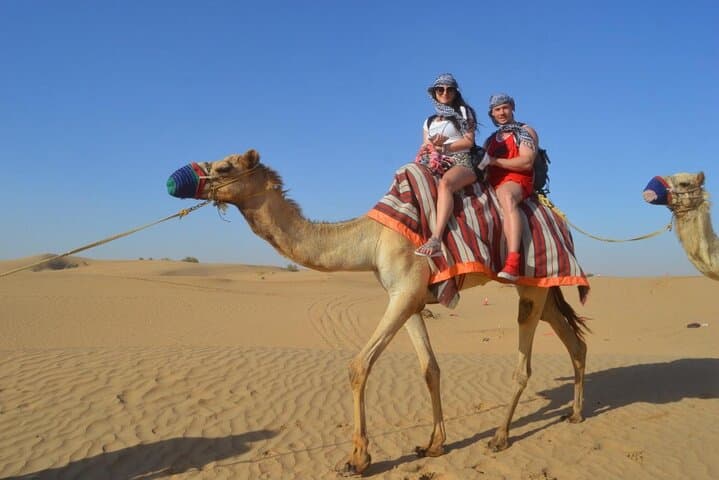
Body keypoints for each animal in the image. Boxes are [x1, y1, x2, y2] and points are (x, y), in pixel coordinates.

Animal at [167, 150, 589, 476]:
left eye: (225, 167)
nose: (175, 180)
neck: (370, 239)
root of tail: (560, 221)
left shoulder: (403, 291)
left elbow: (358, 366)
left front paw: (358, 459)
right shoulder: (410, 297)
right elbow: (430, 369)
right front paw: (434, 444)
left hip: (531, 284)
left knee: (525, 362)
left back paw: (500, 437)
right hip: (543, 289)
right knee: (574, 342)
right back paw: (574, 414)